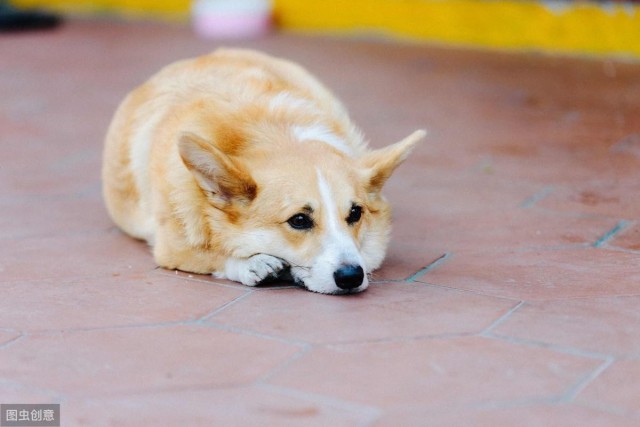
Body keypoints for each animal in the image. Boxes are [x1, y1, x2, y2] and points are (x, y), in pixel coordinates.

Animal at [104, 47, 424, 294]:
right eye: (299, 220)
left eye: (355, 214)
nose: (351, 277)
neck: (274, 134)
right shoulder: (171, 247)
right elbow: (213, 255)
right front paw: (251, 264)